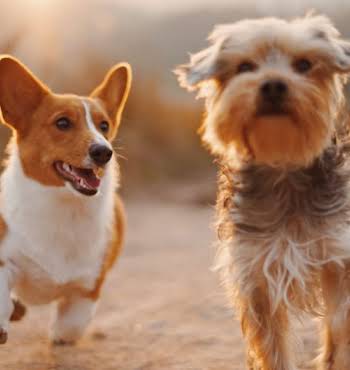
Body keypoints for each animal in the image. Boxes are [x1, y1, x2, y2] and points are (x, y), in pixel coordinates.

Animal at [0, 56, 131, 346]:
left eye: (104, 126)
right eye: (62, 123)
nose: (104, 152)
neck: (63, 207)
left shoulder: (89, 286)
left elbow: (71, 325)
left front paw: (59, 334)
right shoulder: (5, 260)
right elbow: (3, 295)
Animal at [176, 13, 350, 370]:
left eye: (304, 64)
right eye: (245, 67)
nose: (272, 84)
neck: (282, 165)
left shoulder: (338, 258)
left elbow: (339, 329)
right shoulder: (256, 274)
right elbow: (272, 346)